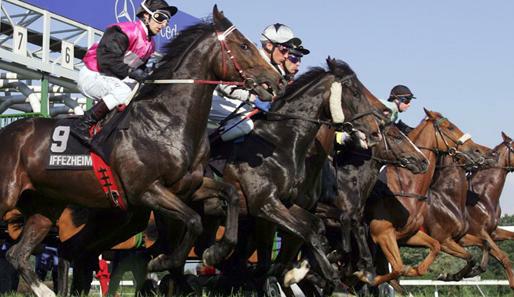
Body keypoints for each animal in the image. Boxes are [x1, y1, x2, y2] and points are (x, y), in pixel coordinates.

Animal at [0, 6, 284, 294]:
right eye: (244, 45)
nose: (277, 80)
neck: (168, 120)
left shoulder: (188, 186)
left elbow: (231, 195)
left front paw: (215, 251)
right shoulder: (147, 190)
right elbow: (193, 220)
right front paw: (162, 261)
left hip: (46, 206)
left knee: (19, 254)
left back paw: (46, 290)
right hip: (9, 196)